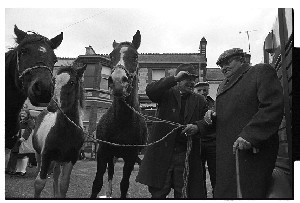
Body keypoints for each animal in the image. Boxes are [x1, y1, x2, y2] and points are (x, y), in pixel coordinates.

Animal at [32, 64, 86, 197]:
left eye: (72, 82)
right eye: (54, 82)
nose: (52, 106)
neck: (66, 132)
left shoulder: (71, 159)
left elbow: (64, 185)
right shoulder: (46, 156)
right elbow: (39, 183)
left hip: (58, 159)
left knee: (56, 175)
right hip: (39, 155)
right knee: (39, 172)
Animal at [91, 30, 148, 198]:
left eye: (135, 56)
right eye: (111, 56)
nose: (117, 82)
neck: (121, 121)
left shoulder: (130, 156)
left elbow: (124, 184)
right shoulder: (103, 152)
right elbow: (97, 183)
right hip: (111, 155)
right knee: (109, 173)